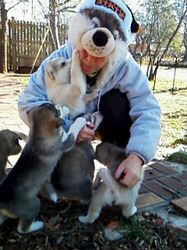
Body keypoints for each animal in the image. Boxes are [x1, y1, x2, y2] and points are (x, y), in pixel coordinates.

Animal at [0, 102, 86, 233]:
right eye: (57, 111)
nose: (60, 104)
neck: (38, 134)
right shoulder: (66, 144)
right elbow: (72, 131)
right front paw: (79, 121)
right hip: (34, 204)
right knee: (22, 229)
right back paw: (38, 225)